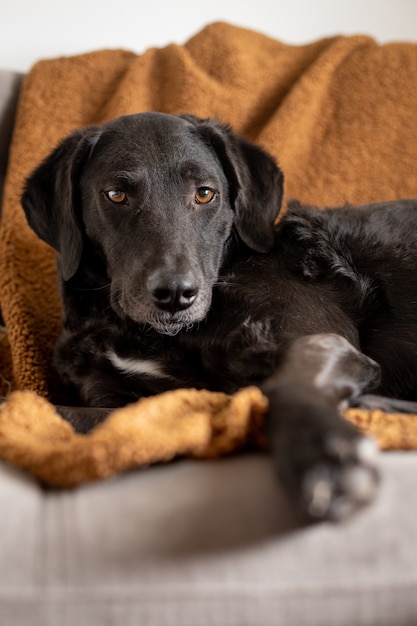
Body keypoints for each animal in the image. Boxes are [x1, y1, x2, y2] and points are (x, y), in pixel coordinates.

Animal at [22, 111, 417, 516]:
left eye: (204, 193)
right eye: (116, 194)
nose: (176, 294)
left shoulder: (320, 338)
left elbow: (283, 383)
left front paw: (323, 456)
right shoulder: (126, 402)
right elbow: (62, 413)